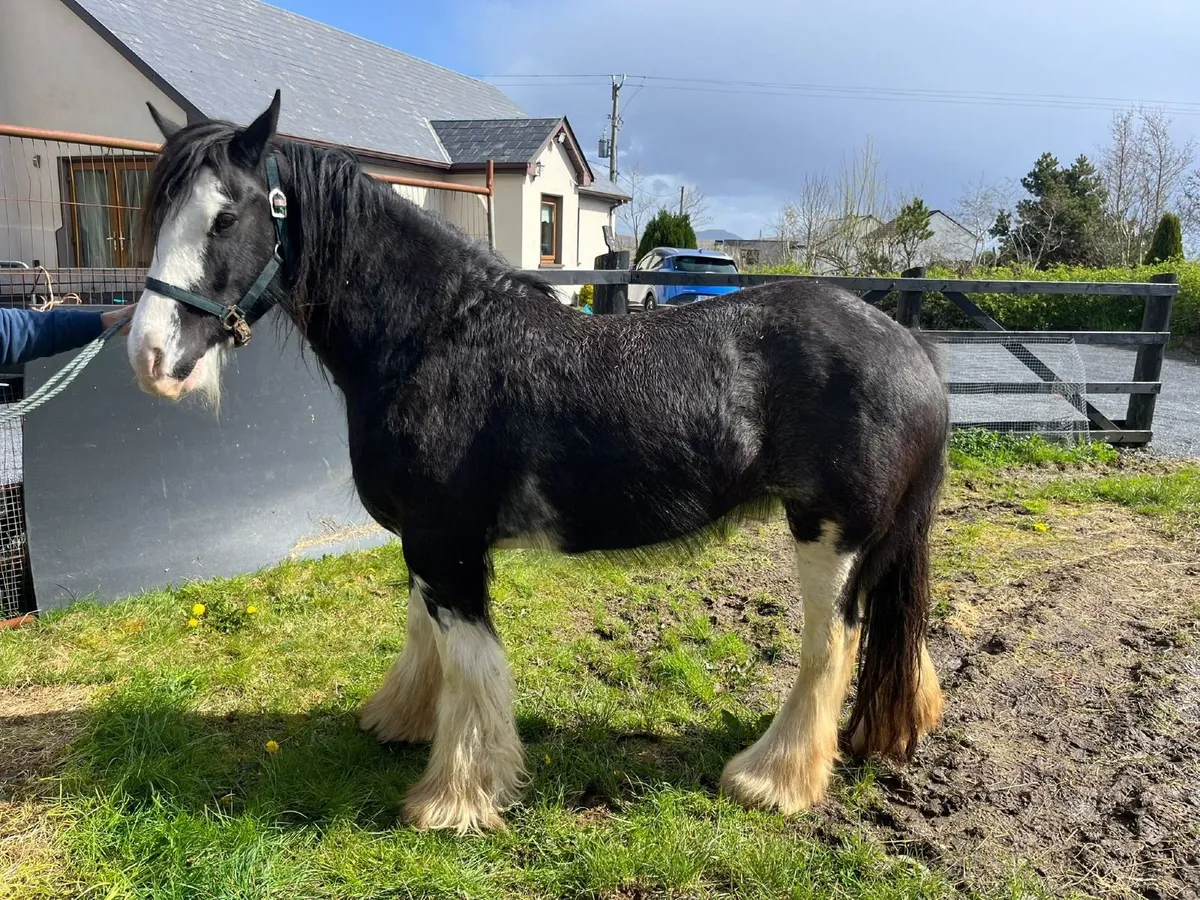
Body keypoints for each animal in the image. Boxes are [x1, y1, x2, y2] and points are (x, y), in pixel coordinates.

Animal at [127, 91, 950, 835]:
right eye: (158, 216)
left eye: (225, 217)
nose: (149, 357)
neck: (434, 338)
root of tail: (911, 348)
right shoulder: (428, 543)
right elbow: (426, 636)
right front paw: (401, 719)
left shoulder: (447, 544)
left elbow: (473, 663)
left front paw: (456, 799)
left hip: (830, 536)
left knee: (830, 646)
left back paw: (771, 780)